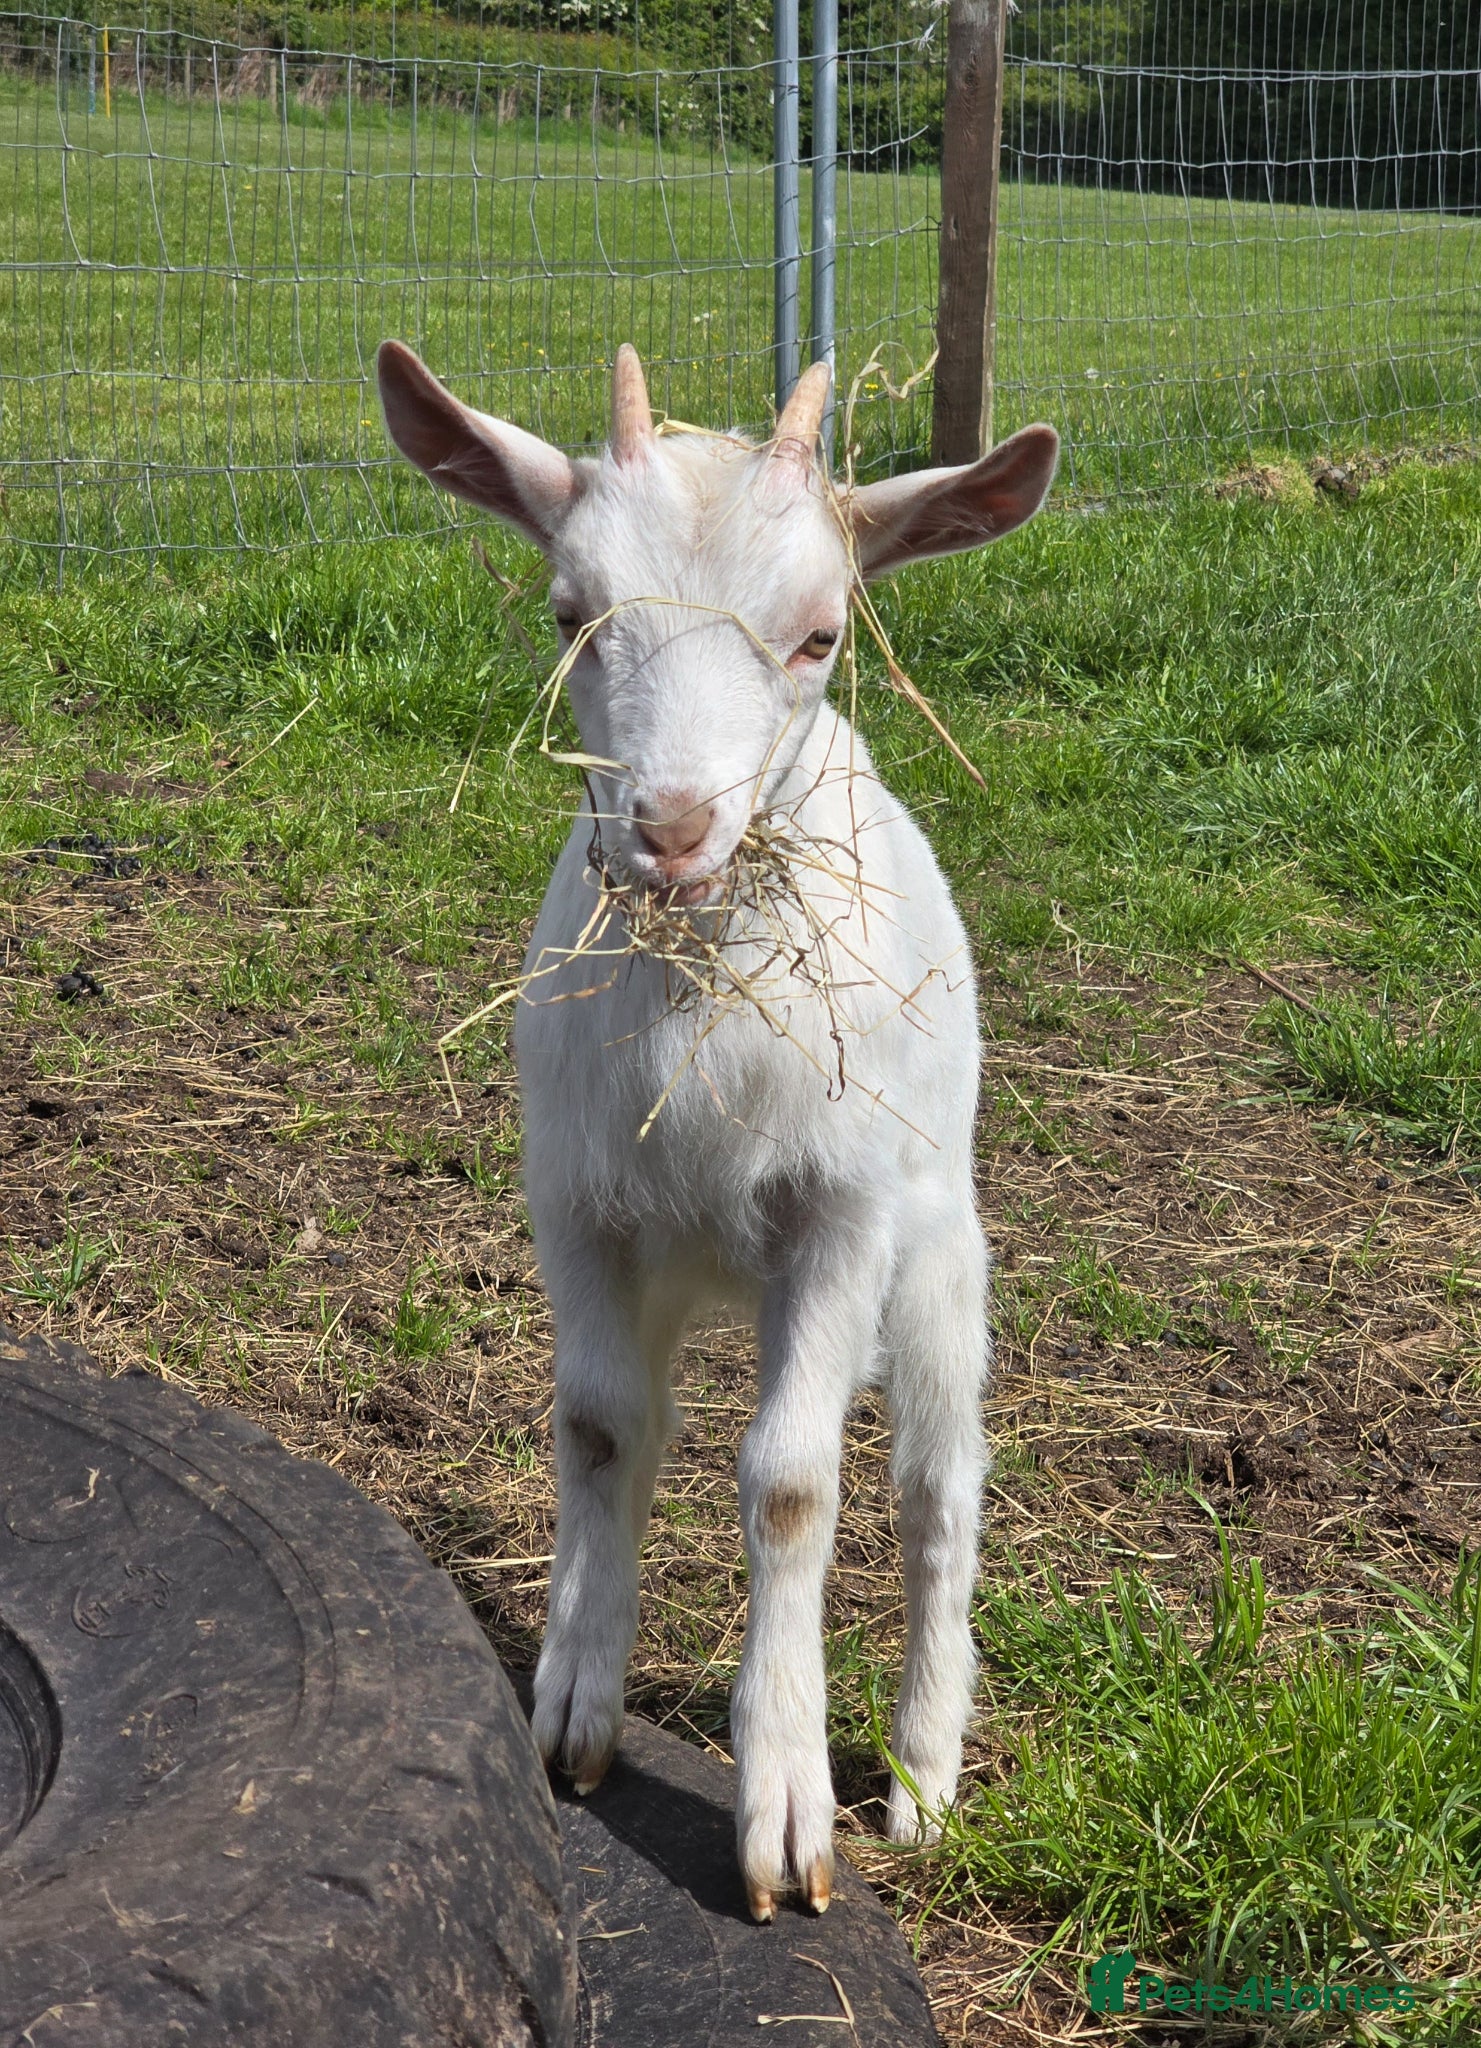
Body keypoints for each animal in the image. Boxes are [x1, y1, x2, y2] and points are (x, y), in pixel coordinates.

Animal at [378, 340, 1059, 1921]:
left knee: (937, 1493)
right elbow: (598, 1425)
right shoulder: (574, 1199)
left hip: (940, 1265)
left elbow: (794, 1484)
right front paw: (572, 1704)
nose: (673, 830)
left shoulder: (839, 1212)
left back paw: (922, 1771)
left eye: (818, 635)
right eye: (570, 614)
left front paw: (787, 1805)